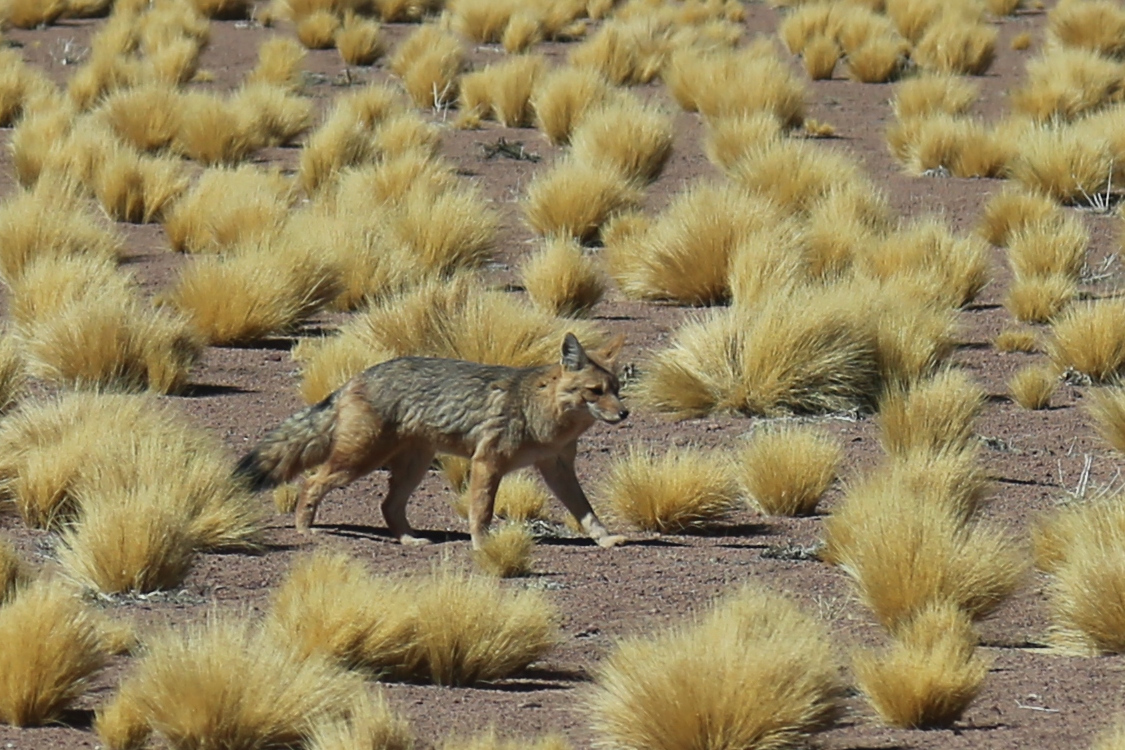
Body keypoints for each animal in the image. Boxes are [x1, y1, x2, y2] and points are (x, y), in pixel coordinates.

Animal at [234, 332, 629, 550]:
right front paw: (482, 545)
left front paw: (605, 538)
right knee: (312, 481)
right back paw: (305, 529)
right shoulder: (488, 462)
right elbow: (482, 511)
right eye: (595, 392)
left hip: (413, 465)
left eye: (617, 389)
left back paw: (409, 539)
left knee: (388, 506)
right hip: (359, 461)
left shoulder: (556, 466)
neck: (544, 411)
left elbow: (586, 511)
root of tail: (356, 378)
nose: (624, 414)